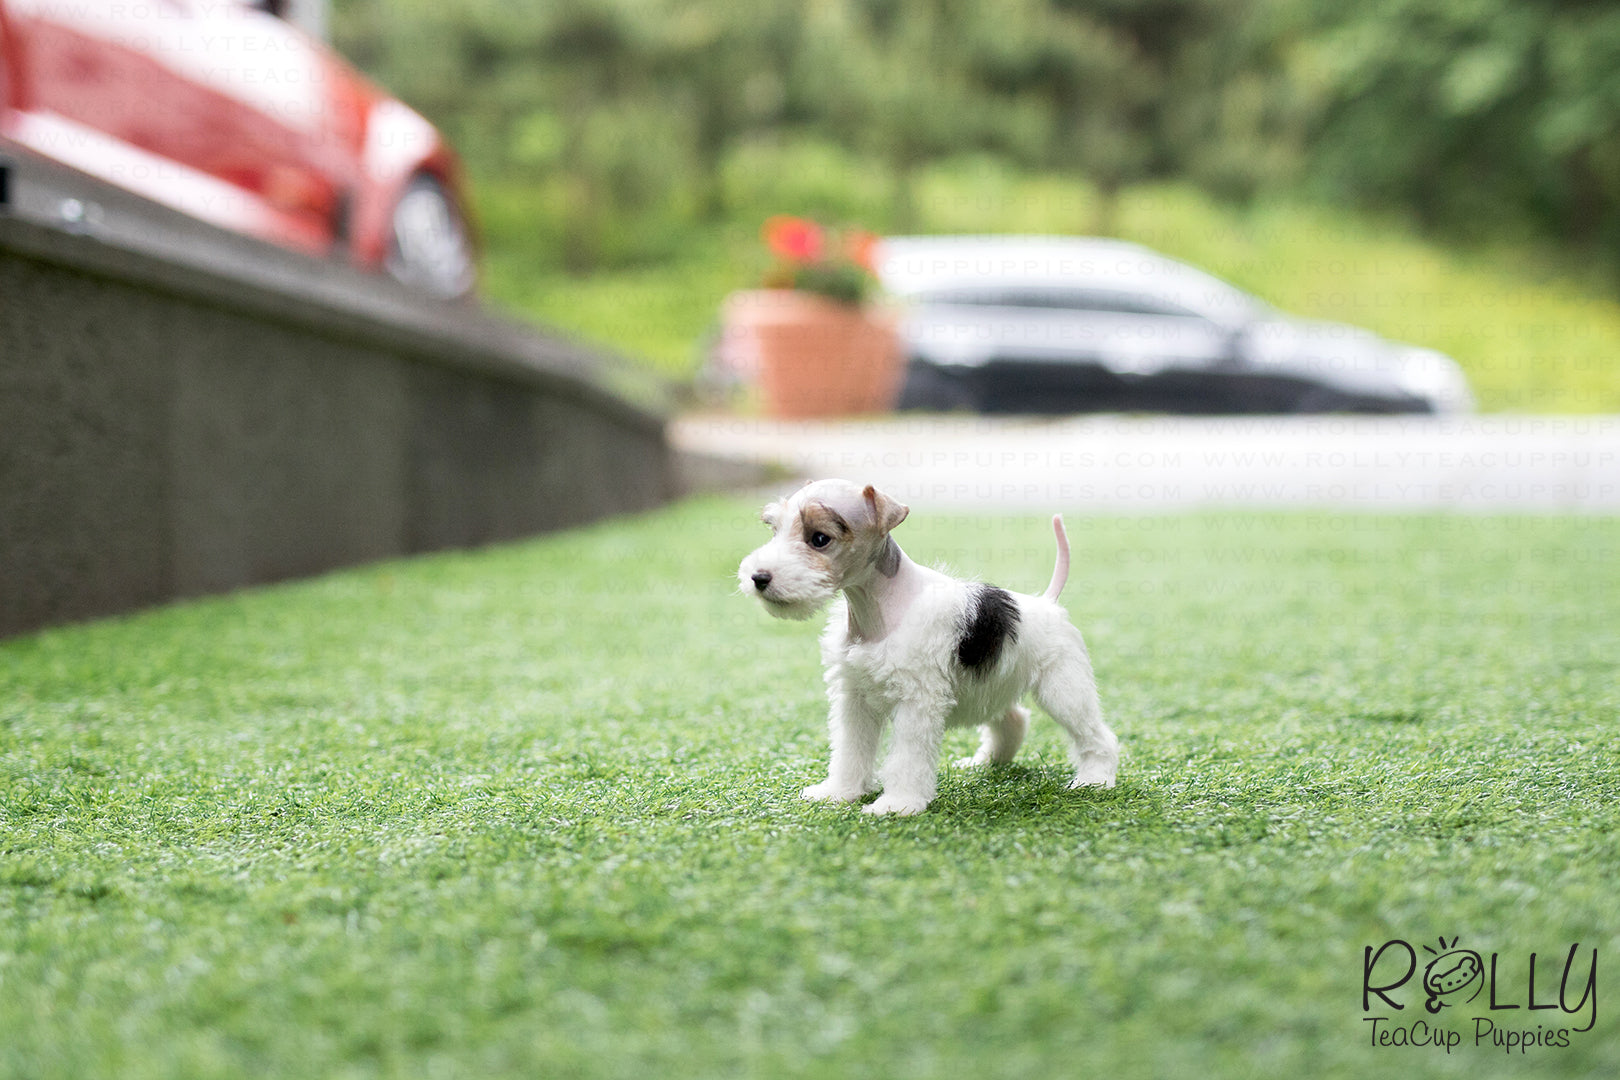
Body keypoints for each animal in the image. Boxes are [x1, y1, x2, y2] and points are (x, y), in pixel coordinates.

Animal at [741, 476, 1121, 816]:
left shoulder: (916, 701)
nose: (758, 578)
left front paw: (897, 805)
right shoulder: (854, 697)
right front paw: (839, 792)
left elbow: (906, 758)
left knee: (1097, 736)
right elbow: (850, 750)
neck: (878, 609)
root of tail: (1048, 602)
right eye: (774, 529)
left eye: (819, 538)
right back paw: (987, 762)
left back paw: (1094, 780)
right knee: (1013, 718)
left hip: (1063, 689)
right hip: (992, 683)